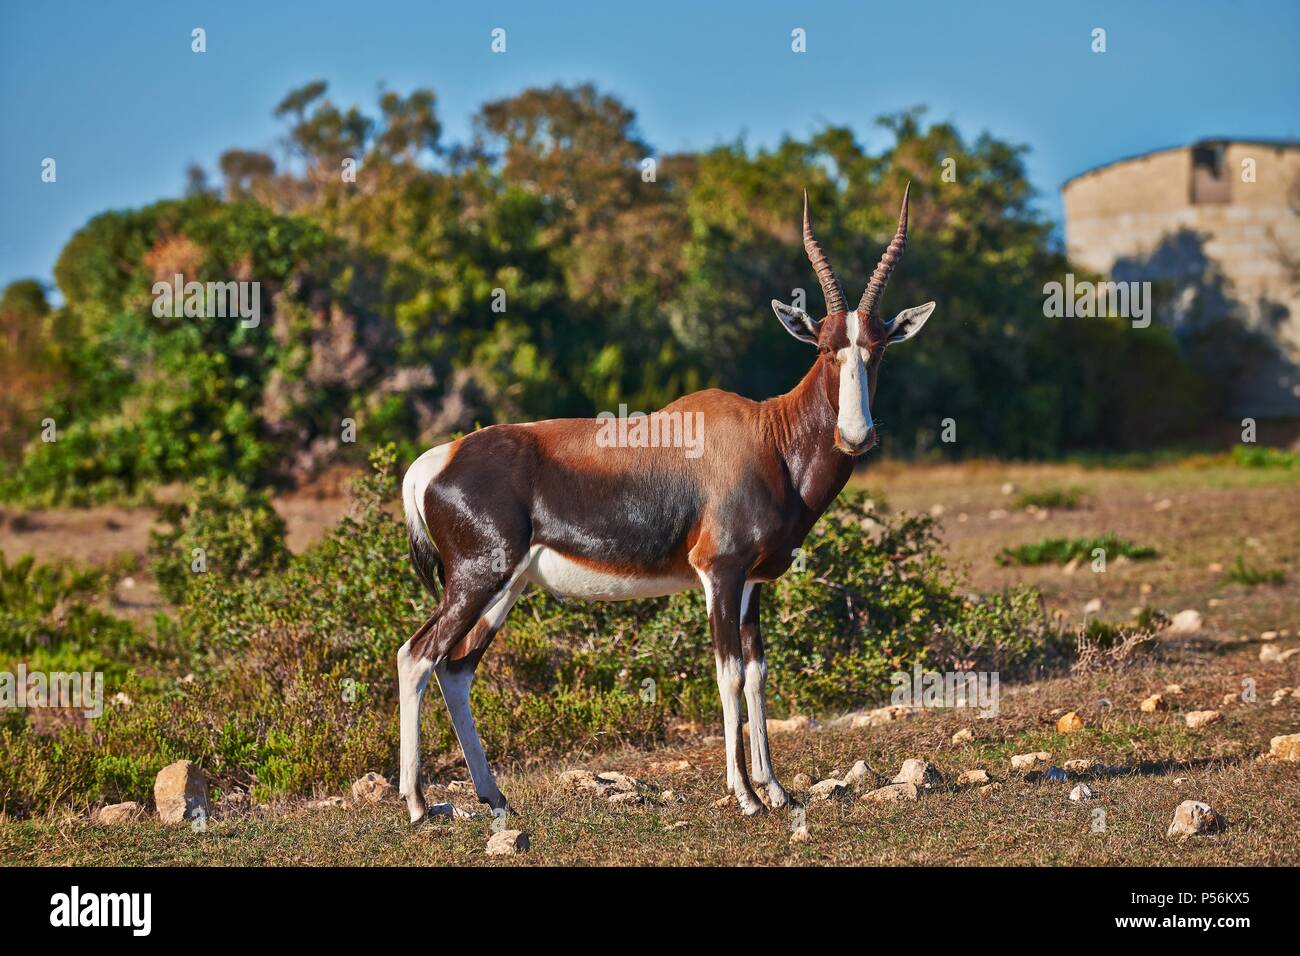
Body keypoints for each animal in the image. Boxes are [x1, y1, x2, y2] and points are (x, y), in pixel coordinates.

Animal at [395, 183, 935, 816]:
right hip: (476, 579)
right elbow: (728, 674)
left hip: (506, 587)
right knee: (417, 656)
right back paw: (418, 804)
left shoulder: (751, 584)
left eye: (877, 348)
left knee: (456, 670)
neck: (766, 436)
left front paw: (776, 790)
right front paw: (746, 796)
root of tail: (435, 461)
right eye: (826, 349)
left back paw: (496, 798)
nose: (855, 435)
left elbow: (758, 672)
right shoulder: (718, 572)